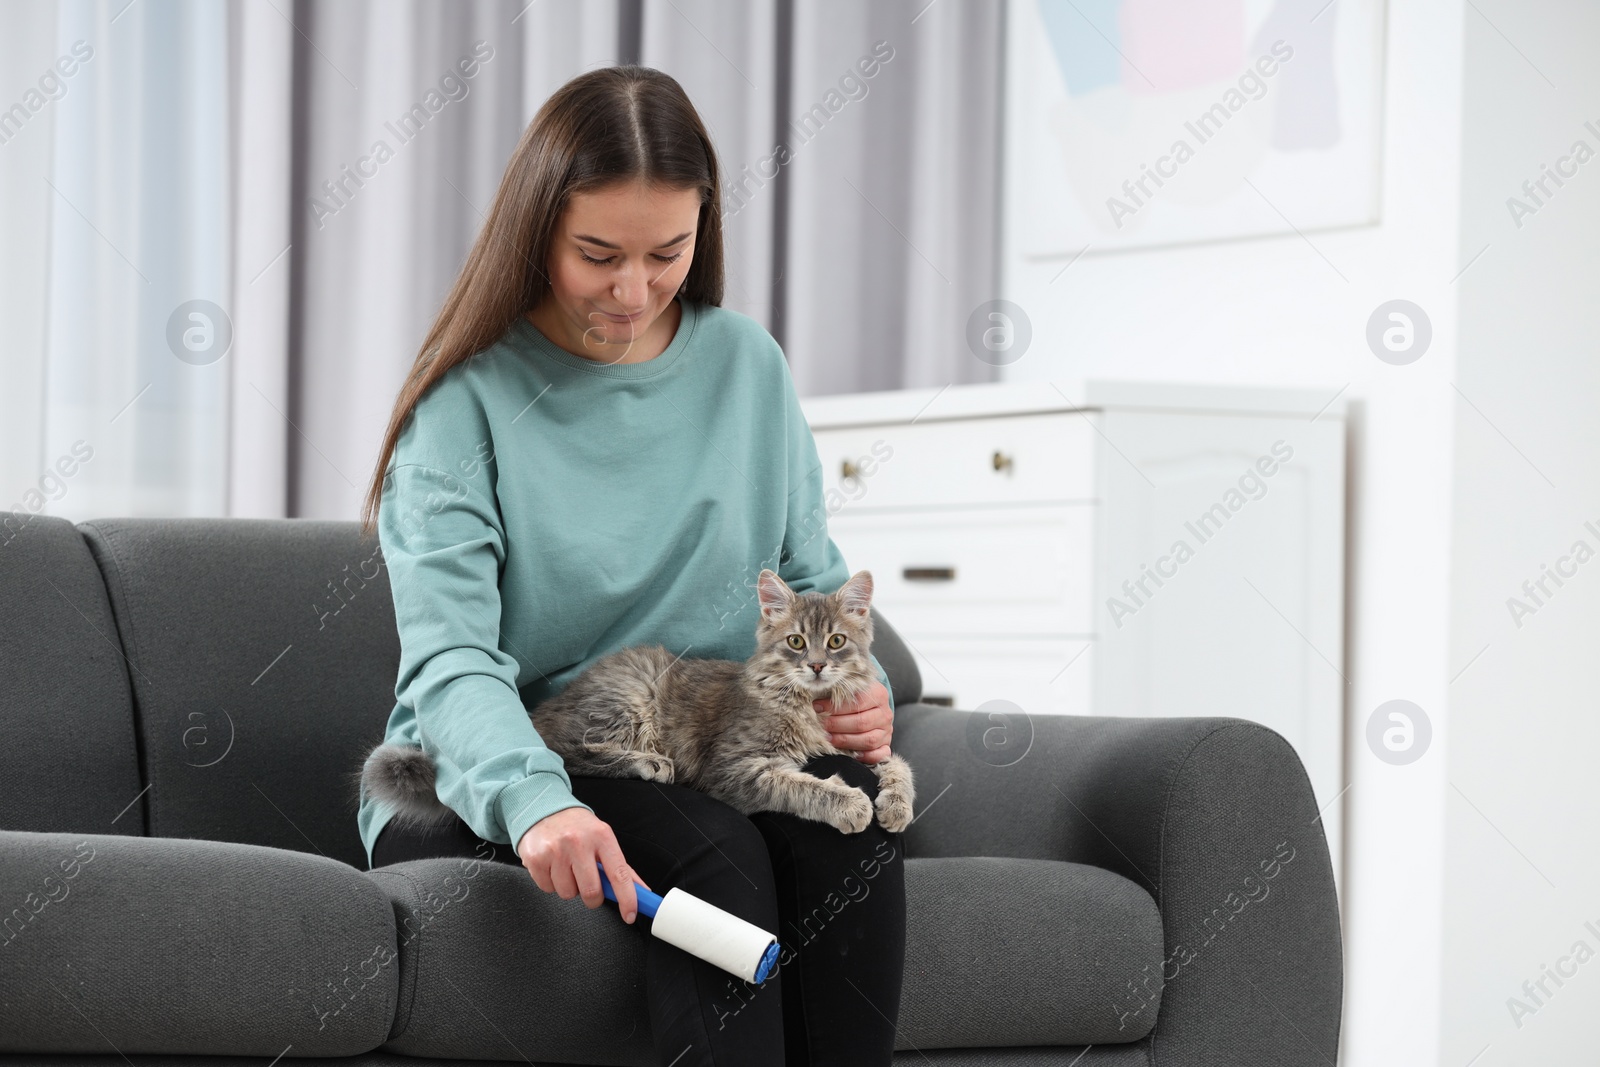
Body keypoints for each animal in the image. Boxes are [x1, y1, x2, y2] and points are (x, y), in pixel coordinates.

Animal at [361, 572, 915, 838]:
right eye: (797, 642)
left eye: (837, 641)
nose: (818, 666)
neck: (809, 703)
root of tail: (541, 709)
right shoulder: (737, 768)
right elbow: (802, 785)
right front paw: (849, 804)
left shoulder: (863, 744)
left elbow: (897, 764)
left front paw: (895, 806)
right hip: (632, 697)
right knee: (566, 754)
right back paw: (648, 762)